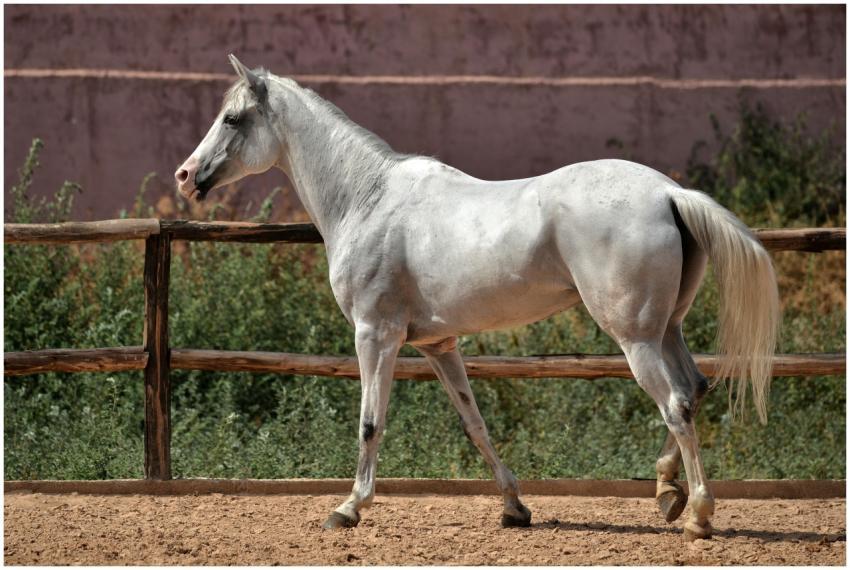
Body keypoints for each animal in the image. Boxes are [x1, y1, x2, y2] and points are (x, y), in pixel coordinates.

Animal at [175, 55, 780, 541]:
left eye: (233, 118)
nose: (185, 176)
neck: (367, 199)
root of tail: (669, 193)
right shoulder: (439, 345)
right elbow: (475, 424)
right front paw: (514, 508)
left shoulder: (376, 335)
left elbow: (371, 422)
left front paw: (348, 508)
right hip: (666, 329)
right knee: (695, 389)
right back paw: (666, 494)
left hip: (636, 338)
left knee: (675, 404)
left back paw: (698, 514)